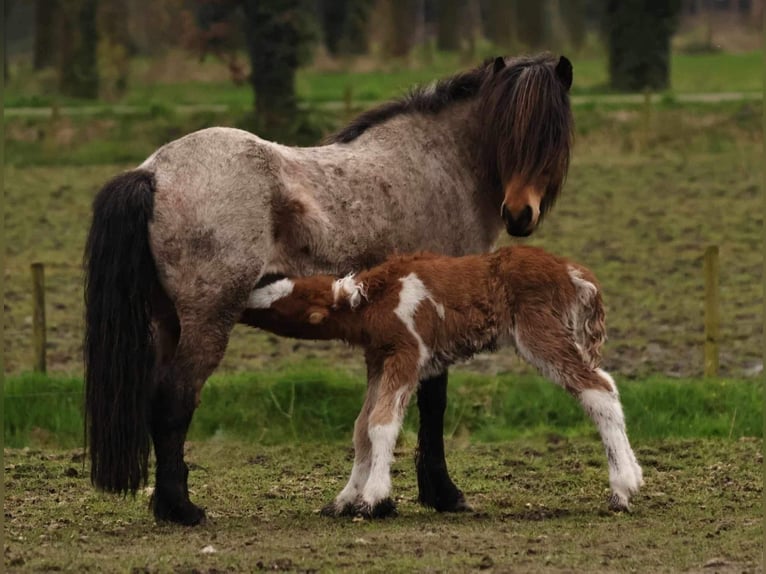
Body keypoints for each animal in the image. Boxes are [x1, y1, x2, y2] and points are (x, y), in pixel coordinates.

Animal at [85, 53, 576, 528]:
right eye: (509, 131)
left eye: (552, 134)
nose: (519, 214)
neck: (440, 163)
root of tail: (154, 173)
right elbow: (434, 401)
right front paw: (443, 494)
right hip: (208, 322)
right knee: (174, 401)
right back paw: (182, 509)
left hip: (169, 324)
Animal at [249, 245, 644, 520]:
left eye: (280, 302)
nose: (249, 292)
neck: (376, 298)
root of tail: (572, 271)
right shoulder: (377, 359)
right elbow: (362, 428)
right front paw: (344, 499)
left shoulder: (407, 355)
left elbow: (382, 424)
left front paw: (373, 499)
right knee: (607, 384)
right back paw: (634, 478)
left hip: (539, 334)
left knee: (597, 390)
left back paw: (621, 490)